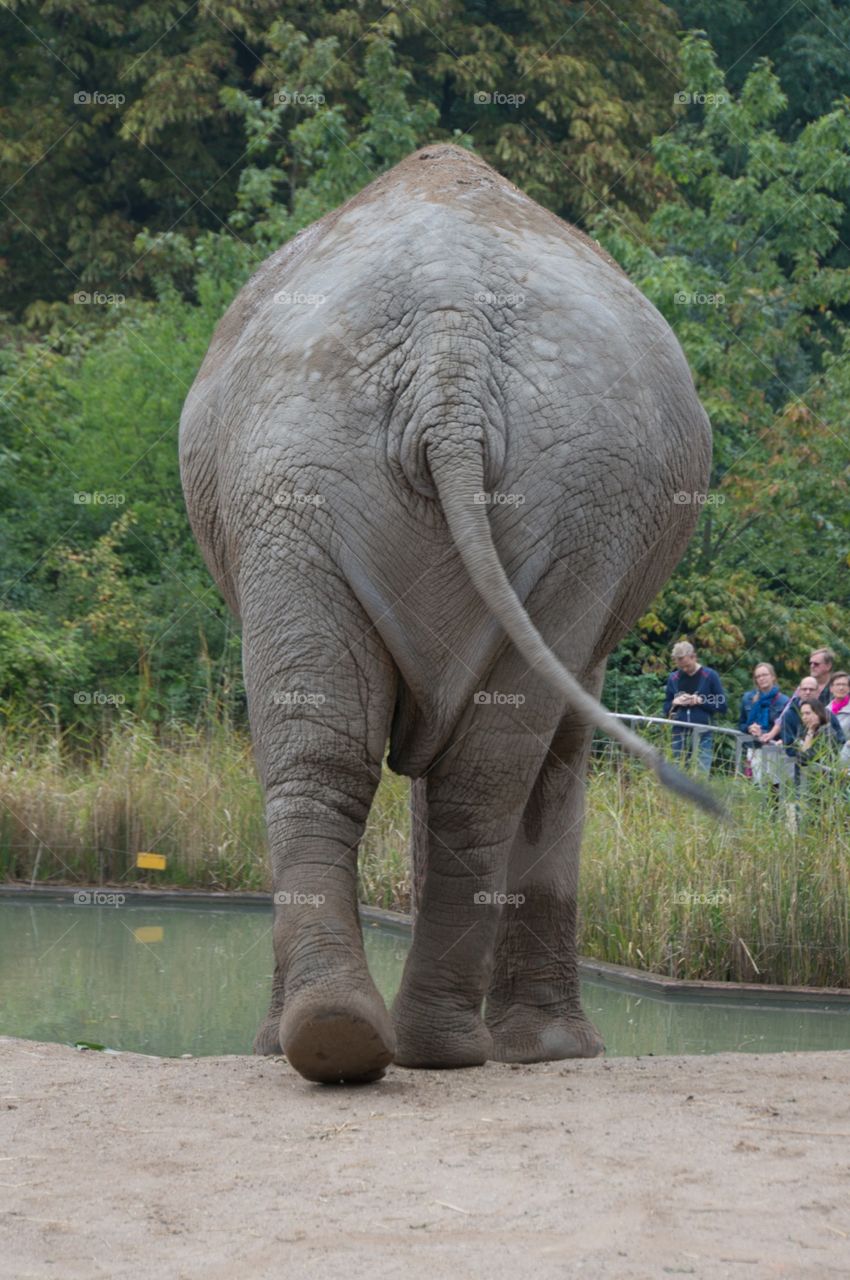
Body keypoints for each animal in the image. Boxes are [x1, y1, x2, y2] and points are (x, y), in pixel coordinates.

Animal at [179, 143, 712, 1085]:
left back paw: (375, 1044)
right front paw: (556, 1055)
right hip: (333, 482)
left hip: (376, 487)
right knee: (440, 761)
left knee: (355, 752)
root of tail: (447, 355)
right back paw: (376, 1044)